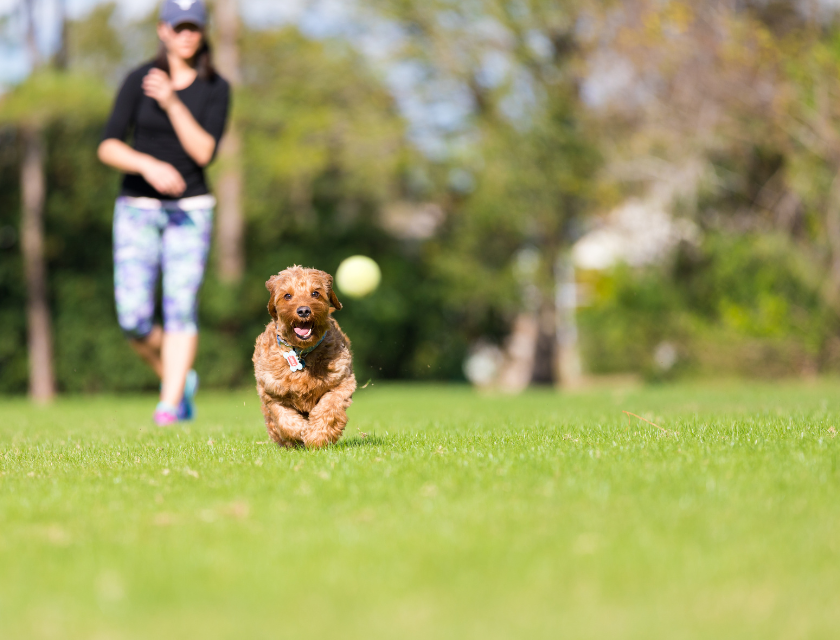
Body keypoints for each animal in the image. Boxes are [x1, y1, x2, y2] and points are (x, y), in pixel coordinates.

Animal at [249, 262, 354, 448]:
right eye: (287, 295)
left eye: (315, 293)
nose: (304, 311)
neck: (301, 352)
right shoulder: (271, 392)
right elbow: (285, 420)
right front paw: (301, 431)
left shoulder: (342, 382)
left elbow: (328, 408)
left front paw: (317, 436)